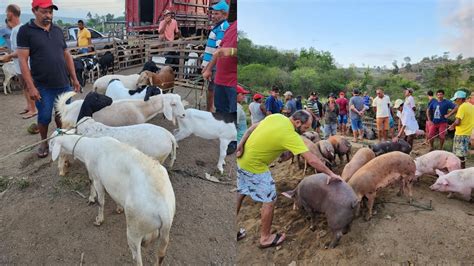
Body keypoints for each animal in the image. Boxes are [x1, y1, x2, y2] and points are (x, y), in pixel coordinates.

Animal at [49, 135, 174, 266]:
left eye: (51, 143)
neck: (87, 147)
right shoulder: (113, 185)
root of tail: (164, 212)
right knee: (160, 255)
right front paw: (119, 208)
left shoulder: (97, 178)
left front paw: (99, 220)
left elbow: (100, 201)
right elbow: (114, 195)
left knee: (138, 258)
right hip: (162, 234)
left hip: (135, 227)